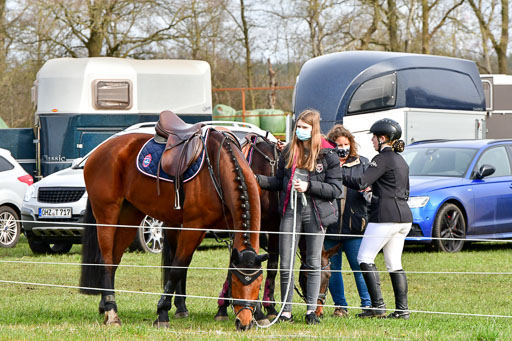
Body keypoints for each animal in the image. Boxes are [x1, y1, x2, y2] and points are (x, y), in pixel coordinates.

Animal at [80, 121, 266, 330]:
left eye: (259, 283)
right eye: (237, 283)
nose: (245, 322)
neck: (219, 167)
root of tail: (98, 150)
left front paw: (258, 314)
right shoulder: (194, 227)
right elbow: (178, 267)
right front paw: (162, 312)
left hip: (129, 217)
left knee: (114, 259)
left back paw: (105, 305)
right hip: (107, 215)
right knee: (105, 260)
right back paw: (112, 312)